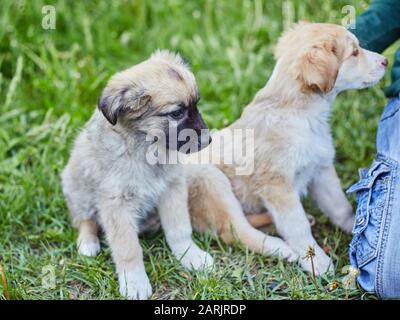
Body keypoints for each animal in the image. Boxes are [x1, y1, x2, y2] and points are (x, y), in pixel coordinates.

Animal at [185, 22, 388, 274]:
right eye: (354, 52)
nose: (385, 61)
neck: (302, 115)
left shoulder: (321, 169)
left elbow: (339, 206)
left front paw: (357, 228)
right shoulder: (277, 185)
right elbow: (297, 226)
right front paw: (316, 261)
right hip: (211, 181)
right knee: (233, 230)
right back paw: (280, 248)